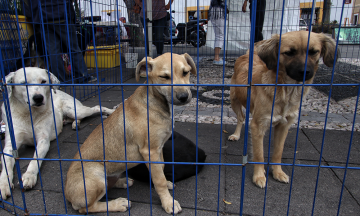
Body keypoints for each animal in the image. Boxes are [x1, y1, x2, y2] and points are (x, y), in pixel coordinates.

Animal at [0, 67, 114, 199]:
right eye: (23, 83)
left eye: (43, 81)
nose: (38, 98)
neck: (29, 114)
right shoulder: (9, 146)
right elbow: (6, 166)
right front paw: (4, 185)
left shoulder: (43, 141)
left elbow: (35, 159)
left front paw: (29, 176)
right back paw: (76, 124)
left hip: (76, 110)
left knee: (97, 107)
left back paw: (110, 111)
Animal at [63, 52, 195, 214]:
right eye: (164, 77)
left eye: (186, 72)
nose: (183, 97)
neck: (156, 101)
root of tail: (67, 194)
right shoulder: (150, 151)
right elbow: (159, 180)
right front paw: (168, 202)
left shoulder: (159, 148)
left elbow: (161, 170)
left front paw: (167, 184)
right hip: (96, 175)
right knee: (87, 208)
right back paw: (119, 203)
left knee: (108, 185)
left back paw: (123, 182)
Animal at [229, 31, 338, 188]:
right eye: (289, 53)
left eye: (314, 52)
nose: (305, 72)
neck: (286, 91)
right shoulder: (258, 125)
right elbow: (259, 154)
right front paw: (259, 176)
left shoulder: (284, 125)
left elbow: (278, 152)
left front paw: (277, 173)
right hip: (234, 100)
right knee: (241, 118)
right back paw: (236, 135)